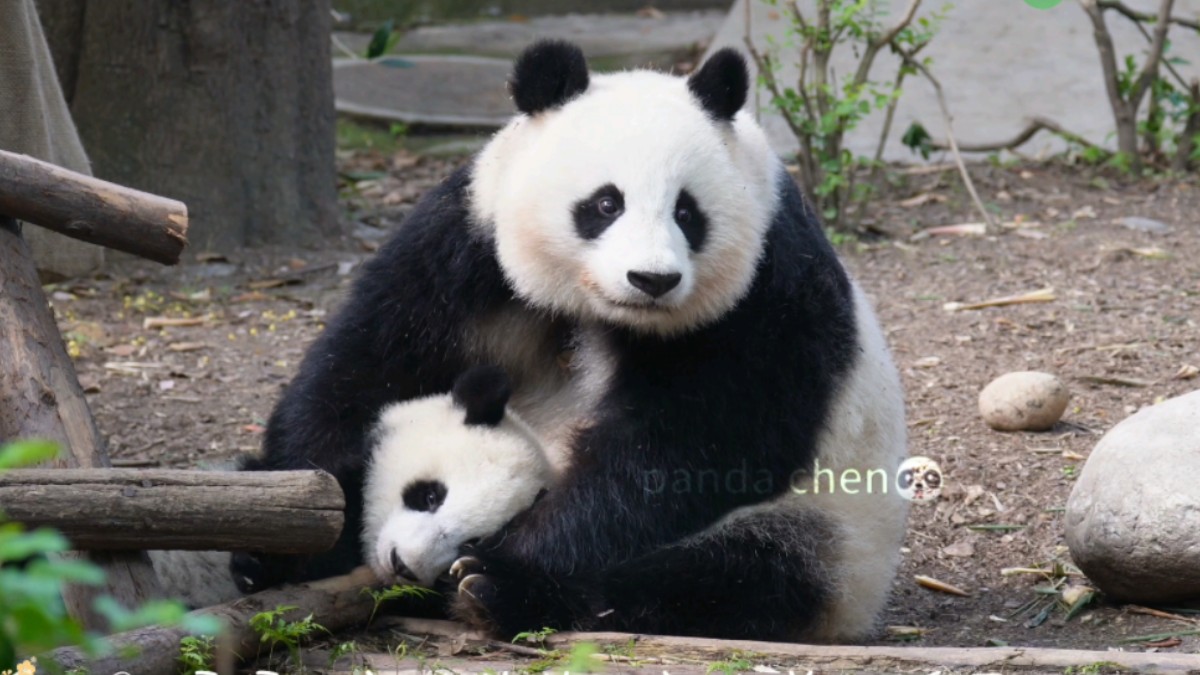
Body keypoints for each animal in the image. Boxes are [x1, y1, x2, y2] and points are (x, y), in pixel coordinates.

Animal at [231, 39, 907, 638]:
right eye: (605, 204)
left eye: (688, 212)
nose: (653, 280)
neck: (601, 311)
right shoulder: (467, 247)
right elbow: (367, 365)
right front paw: (288, 540)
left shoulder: (766, 293)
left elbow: (688, 451)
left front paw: (499, 560)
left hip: (835, 536)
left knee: (734, 578)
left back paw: (500, 592)